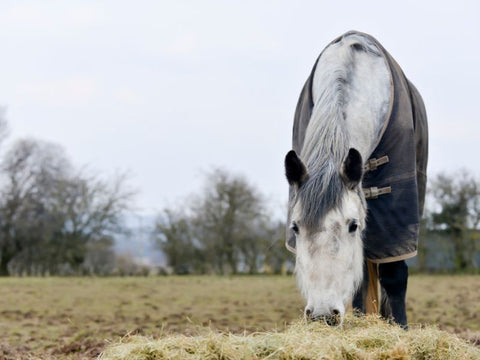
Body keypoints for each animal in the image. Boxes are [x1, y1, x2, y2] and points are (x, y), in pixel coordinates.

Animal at [284, 31, 428, 330]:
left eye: (353, 226)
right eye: (295, 227)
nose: (322, 316)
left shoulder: (396, 216)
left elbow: (395, 275)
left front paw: (401, 329)